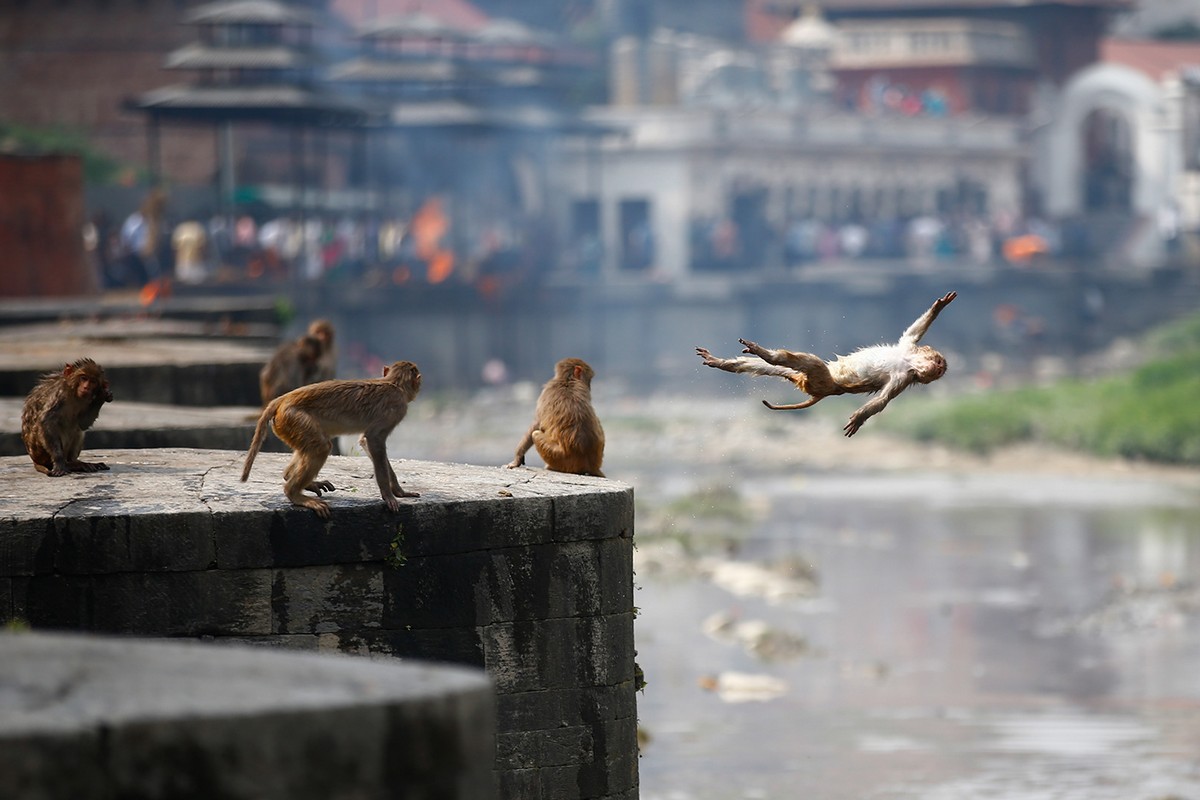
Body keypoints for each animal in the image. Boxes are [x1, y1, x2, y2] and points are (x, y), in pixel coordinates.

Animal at [240, 357, 422, 520]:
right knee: (321, 447)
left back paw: (293, 478)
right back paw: (294, 493)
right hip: (293, 417)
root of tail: (283, 399)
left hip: (289, 424)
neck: (395, 383)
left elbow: (365, 442)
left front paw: (399, 491)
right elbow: (374, 439)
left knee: (313, 446)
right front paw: (389, 495)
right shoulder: (396, 408)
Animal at [696, 291, 955, 438]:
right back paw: (726, 362)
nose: (937, 370)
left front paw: (859, 418)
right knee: (778, 366)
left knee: (807, 362)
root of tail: (825, 391)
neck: (909, 361)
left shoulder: (903, 377)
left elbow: (882, 400)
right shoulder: (908, 347)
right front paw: (939, 306)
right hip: (811, 378)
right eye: (938, 364)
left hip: (821, 379)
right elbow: (914, 331)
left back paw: (763, 354)